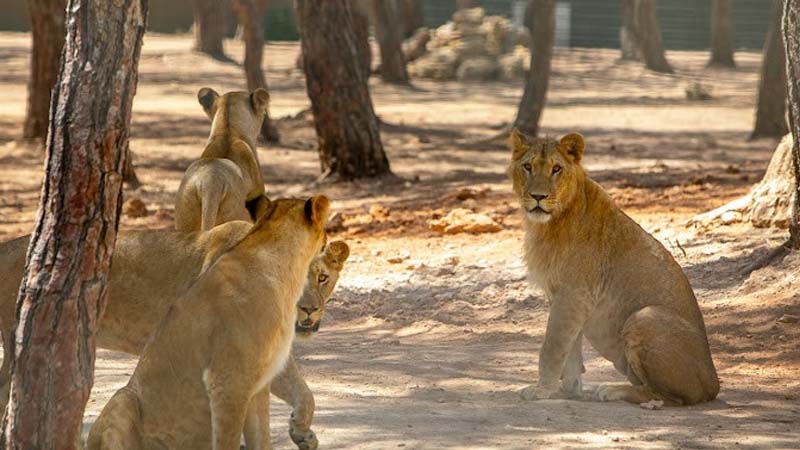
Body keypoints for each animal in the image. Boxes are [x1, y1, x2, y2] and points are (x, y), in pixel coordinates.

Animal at [86, 196, 329, 450]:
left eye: (323, 278)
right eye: (314, 279)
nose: (310, 310)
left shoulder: (263, 372)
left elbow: (298, 395)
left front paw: (302, 432)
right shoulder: (229, 379)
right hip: (123, 398)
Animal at [508, 129, 719, 406]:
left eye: (556, 169)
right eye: (527, 167)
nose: (538, 197)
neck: (549, 225)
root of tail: (714, 383)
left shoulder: (574, 292)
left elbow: (553, 346)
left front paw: (542, 389)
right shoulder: (565, 296)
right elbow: (571, 347)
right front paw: (570, 389)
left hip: (644, 317)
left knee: (668, 397)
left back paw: (613, 390)